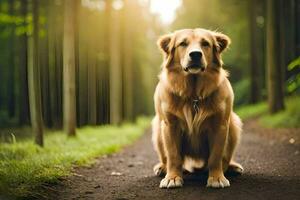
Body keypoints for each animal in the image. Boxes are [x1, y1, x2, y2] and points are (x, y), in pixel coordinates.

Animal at [152, 28, 244, 189]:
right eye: (183, 43)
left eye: (205, 43)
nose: (195, 54)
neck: (193, 95)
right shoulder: (170, 125)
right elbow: (173, 156)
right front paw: (173, 178)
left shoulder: (220, 125)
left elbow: (216, 156)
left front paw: (216, 178)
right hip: (157, 127)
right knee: (166, 158)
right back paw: (163, 168)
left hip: (234, 123)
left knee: (225, 159)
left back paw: (232, 167)